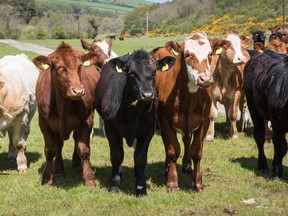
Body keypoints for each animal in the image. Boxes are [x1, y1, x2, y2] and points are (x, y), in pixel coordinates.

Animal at [32, 42, 99, 187]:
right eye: (60, 68)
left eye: (79, 66)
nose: (78, 90)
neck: (63, 104)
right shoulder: (44, 123)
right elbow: (50, 150)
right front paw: (47, 179)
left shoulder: (87, 119)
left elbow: (84, 149)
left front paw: (89, 179)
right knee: (59, 145)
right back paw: (58, 169)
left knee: (75, 140)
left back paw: (76, 162)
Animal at [95, 49, 174, 197]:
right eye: (131, 73)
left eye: (154, 72)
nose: (147, 95)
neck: (133, 113)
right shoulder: (110, 129)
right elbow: (117, 155)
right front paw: (114, 184)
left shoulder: (148, 130)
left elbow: (140, 158)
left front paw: (141, 187)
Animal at [155, 33, 214, 192]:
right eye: (187, 54)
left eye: (210, 54)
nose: (205, 79)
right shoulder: (164, 119)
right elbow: (173, 150)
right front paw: (172, 182)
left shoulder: (204, 120)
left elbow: (197, 152)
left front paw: (198, 183)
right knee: (167, 142)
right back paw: (167, 167)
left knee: (187, 141)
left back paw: (187, 166)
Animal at [243, 49, 288, 178]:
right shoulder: (278, 123)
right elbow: (282, 148)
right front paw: (276, 174)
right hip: (253, 106)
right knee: (259, 136)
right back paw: (263, 166)